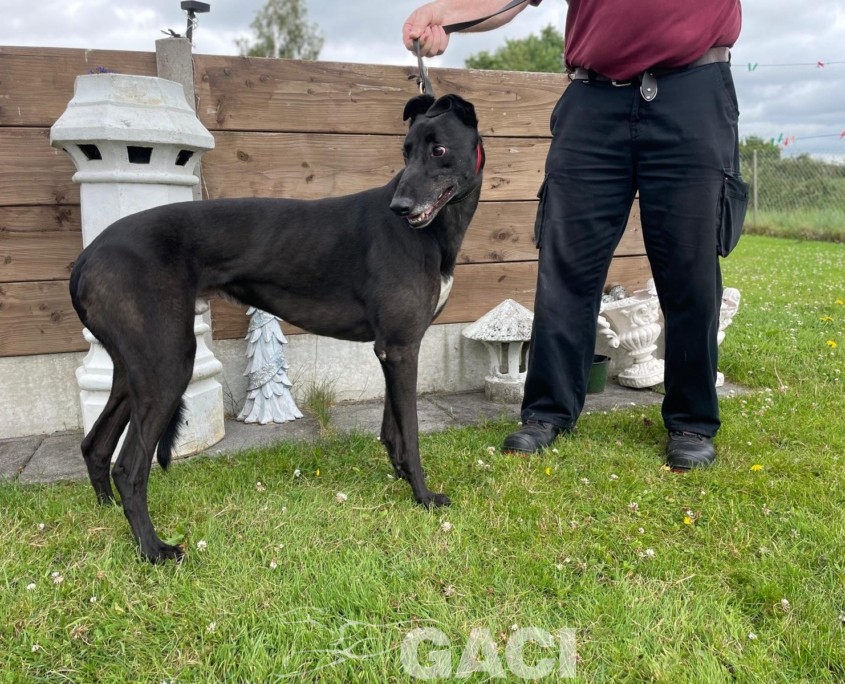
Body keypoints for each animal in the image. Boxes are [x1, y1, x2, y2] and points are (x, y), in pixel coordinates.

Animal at [69, 93, 485, 562]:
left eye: (437, 150)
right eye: (405, 152)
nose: (400, 207)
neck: (432, 234)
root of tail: (87, 258)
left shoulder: (394, 347)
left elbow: (392, 428)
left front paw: (400, 478)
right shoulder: (400, 347)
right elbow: (410, 434)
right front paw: (424, 496)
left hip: (135, 366)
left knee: (95, 445)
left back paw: (106, 516)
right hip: (168, 364)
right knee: (128, 468)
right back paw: (154, 549)